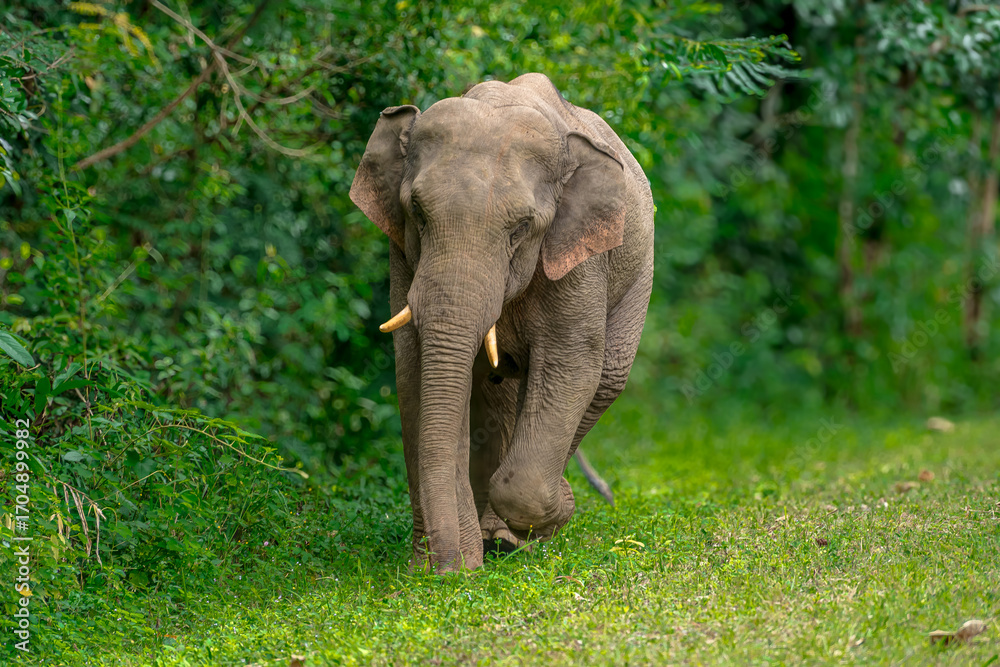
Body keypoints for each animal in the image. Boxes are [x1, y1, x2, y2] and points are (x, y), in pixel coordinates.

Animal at [350, 73, 654, 572]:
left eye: (521, 229)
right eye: (417, 213)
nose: (450, 572)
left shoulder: (578, 258)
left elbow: (571, 366)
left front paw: (555, 513)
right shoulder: (402, 252)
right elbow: (414, 372)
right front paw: (437, 567)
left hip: (636, 273)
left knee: (604, 380)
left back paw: (516, 537)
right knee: (495, 393)